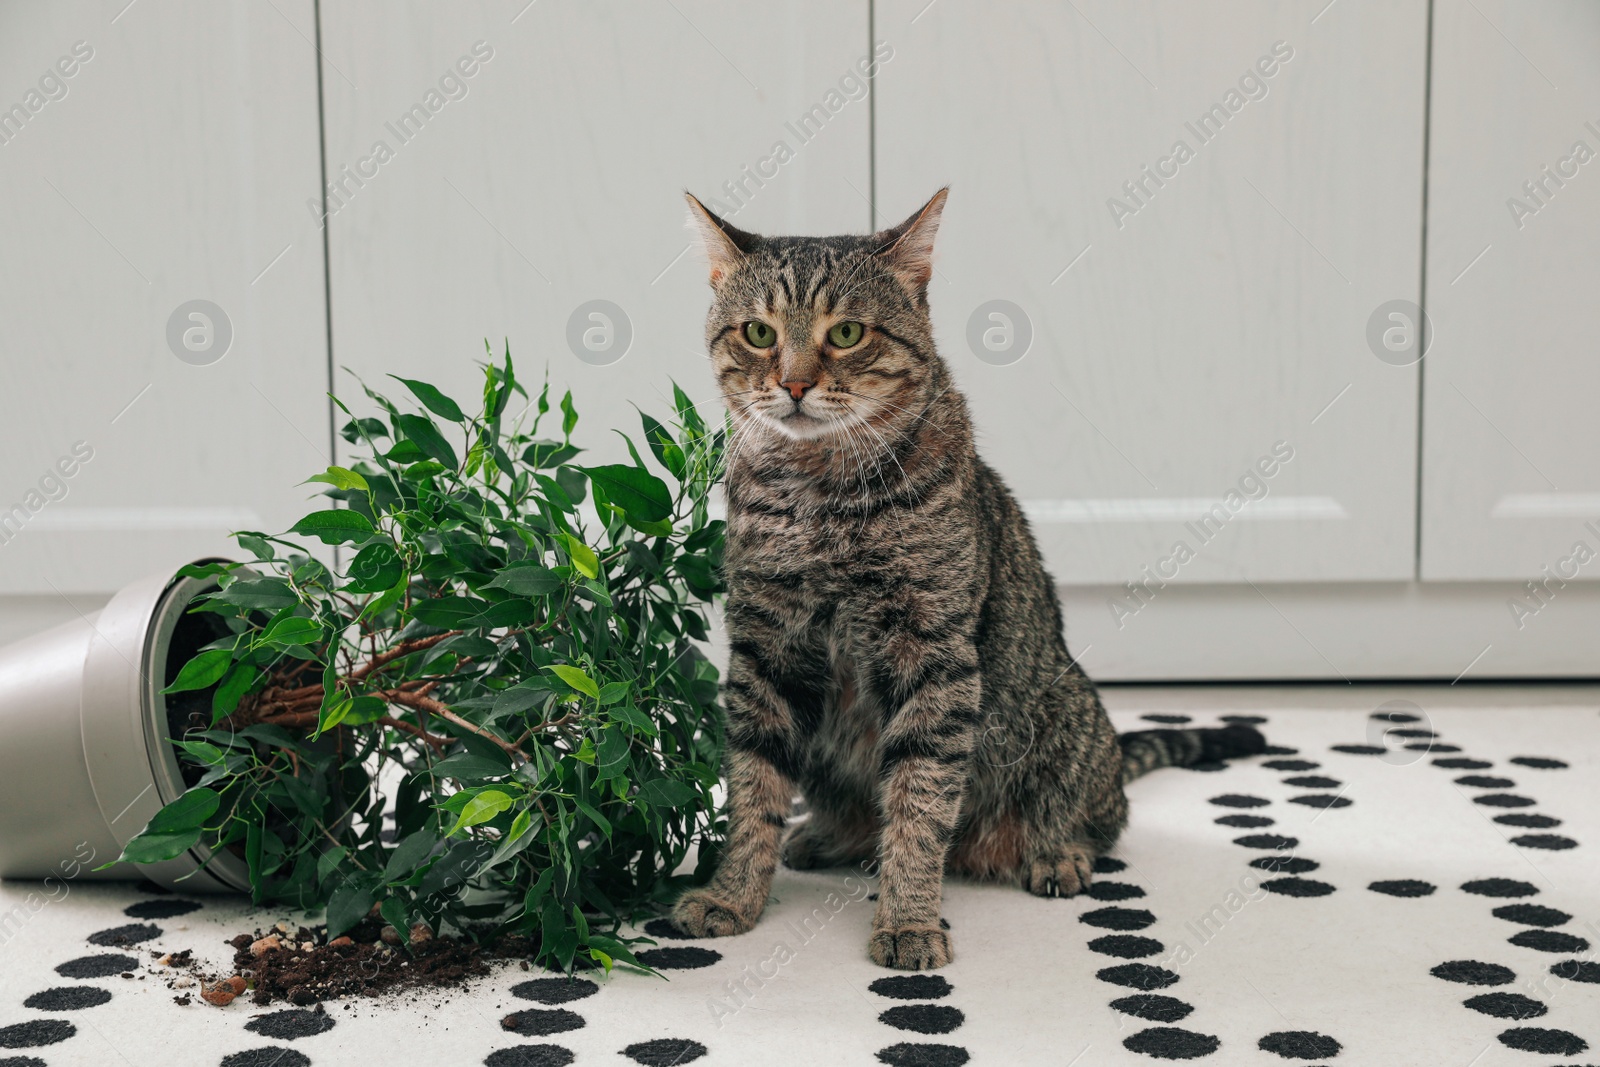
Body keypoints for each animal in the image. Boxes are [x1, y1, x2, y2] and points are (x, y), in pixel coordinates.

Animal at [668, 189, 1267, 966]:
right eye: (759, 332)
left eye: (848, 333)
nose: (794, 382)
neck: (820, 493)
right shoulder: (766, 649)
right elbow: (752, 786)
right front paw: (734, 893)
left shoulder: (934, 655)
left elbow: (920, 801)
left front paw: (907, 919)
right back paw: (828, 835)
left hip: (1062, 711)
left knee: (1096, 817)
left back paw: (1055, 851)